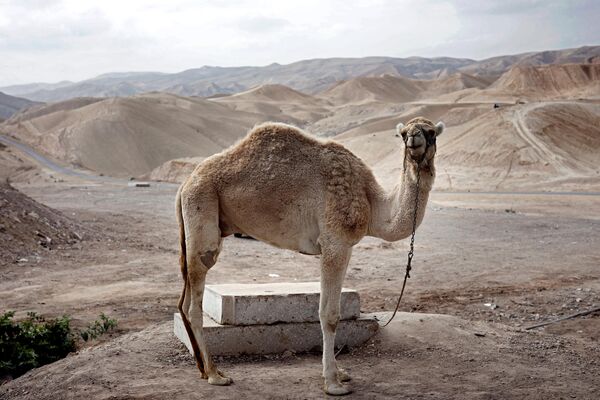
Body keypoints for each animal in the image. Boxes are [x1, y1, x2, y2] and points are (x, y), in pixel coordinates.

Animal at [176, 117, 442, 396]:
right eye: (402, 134)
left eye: (431, 132)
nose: (413, 139)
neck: (372, 203)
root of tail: (185, 183)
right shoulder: (335, 242)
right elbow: (330, 315)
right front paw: (333, 383)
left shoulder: (343, 246)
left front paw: (340, 373)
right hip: (202, 209)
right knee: (195, 300)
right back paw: (215, 374)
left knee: (183, 301)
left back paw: (203, 369)